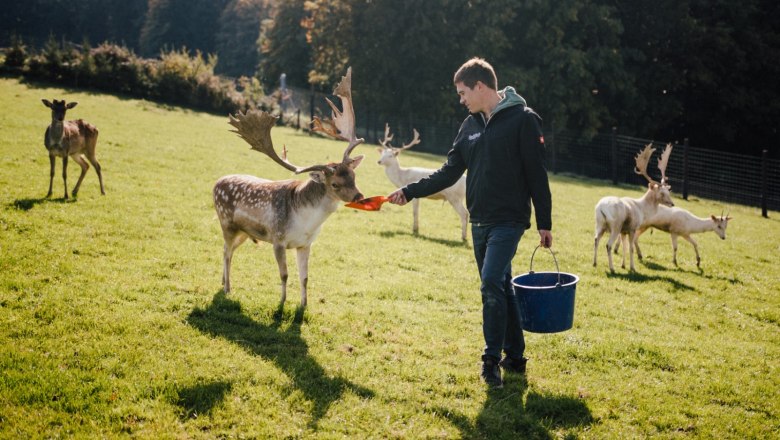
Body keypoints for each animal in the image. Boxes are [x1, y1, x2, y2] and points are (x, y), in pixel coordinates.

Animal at [213, 67, 366, 306]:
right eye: (335, 183)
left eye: (353, 175)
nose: (359, 196)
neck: (305, 224)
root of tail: (216, 183)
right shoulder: (278, 239)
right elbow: (284, 274)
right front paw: (282, 302)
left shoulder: (306, 244)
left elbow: (304, 277)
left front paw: (303, 305)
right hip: (226, 222)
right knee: (227, 253)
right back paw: (228, 288)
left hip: (244, 232)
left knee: (225, 250)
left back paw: (222, 282)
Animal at [596, 143, 672, 272]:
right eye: (662, 193)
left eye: (668, 191)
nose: (672, 204)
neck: (642, 209)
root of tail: (602, 208)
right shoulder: (632, 228)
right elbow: (630, 248)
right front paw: (632, 267)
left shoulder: (624, 231)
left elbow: (624, 247)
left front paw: (623, 265)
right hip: (615, 226)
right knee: (608, 245)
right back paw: (612, 269)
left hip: (599, 224)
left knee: (596, 240)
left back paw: (594, 263)